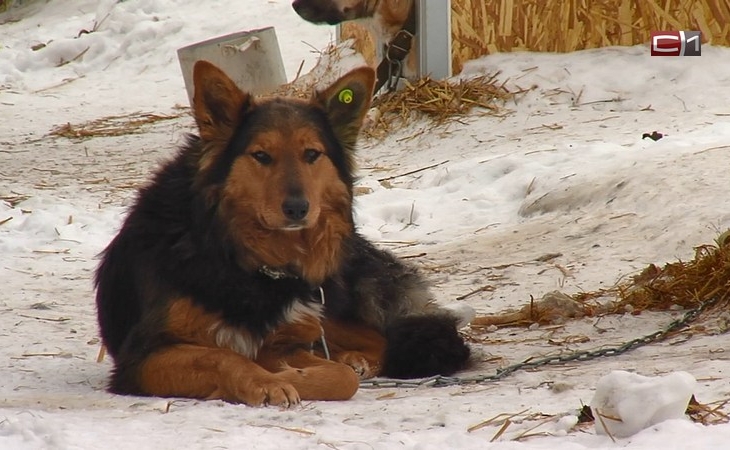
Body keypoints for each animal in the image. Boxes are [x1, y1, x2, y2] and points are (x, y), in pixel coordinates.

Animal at [94, 60, 466, 408]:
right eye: (261, 155)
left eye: (312, 154)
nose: (297, 208)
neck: (237, 255)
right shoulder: (142, 356)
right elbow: (222, 356)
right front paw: (266, 382)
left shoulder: (287, 337)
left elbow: (340, 377)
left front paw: (295, 375)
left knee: (380, 339)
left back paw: (355, 359)